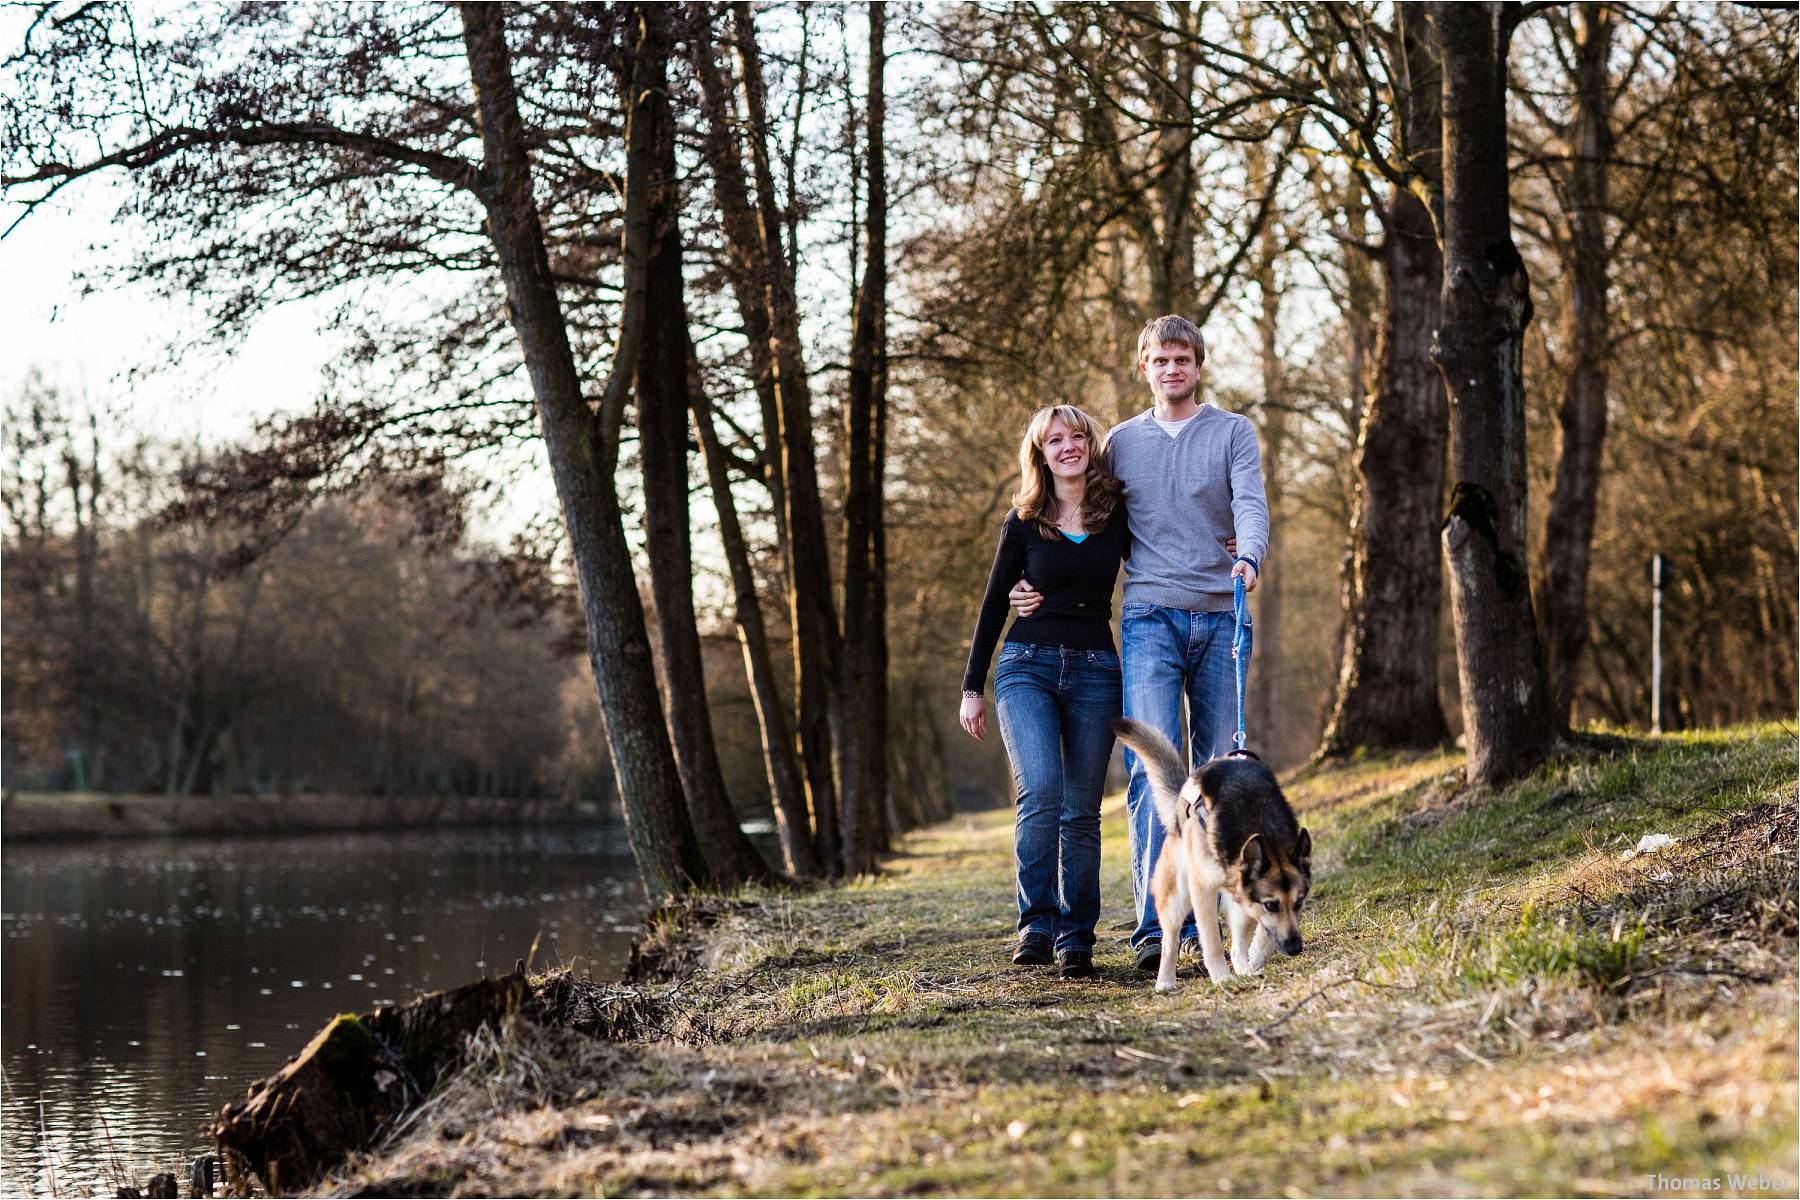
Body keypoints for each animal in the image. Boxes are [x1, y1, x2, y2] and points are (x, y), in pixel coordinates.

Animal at [1108, 719, 1310, 993]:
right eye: (1271, 904)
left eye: (1299, 902)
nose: (1295, 948)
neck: (1260, 826)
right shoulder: (1204, 889)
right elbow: (1212, 941)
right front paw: (1222, 978)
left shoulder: (1249, 897)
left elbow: (1264, 935)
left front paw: (1255, 958)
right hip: (1178, 896)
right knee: (1170, 939)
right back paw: (1165, 981)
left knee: (1237, 947)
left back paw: (1245, 968)